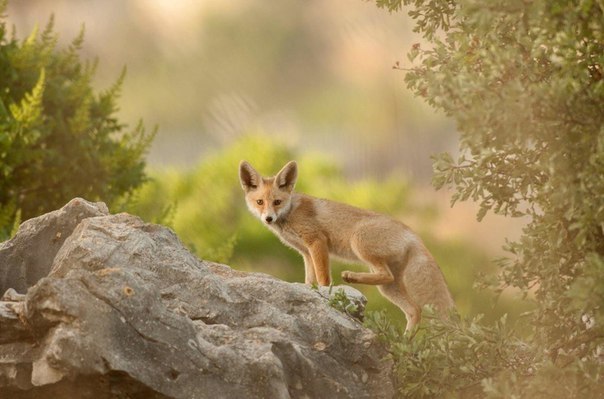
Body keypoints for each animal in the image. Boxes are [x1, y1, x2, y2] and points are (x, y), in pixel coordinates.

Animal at [238, 161, 456, 332]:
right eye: (260, 202)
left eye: (277, 202)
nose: (268, 218)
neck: (291, 212)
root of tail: (413, 234)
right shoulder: (306, 252)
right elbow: (309, 280)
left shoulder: (317, 242)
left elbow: (323, 279)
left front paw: (325, 296)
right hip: (388, 288)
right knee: (414, 310)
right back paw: (406, 343)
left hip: (358, 242)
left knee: (386, 275)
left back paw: (350, 276)